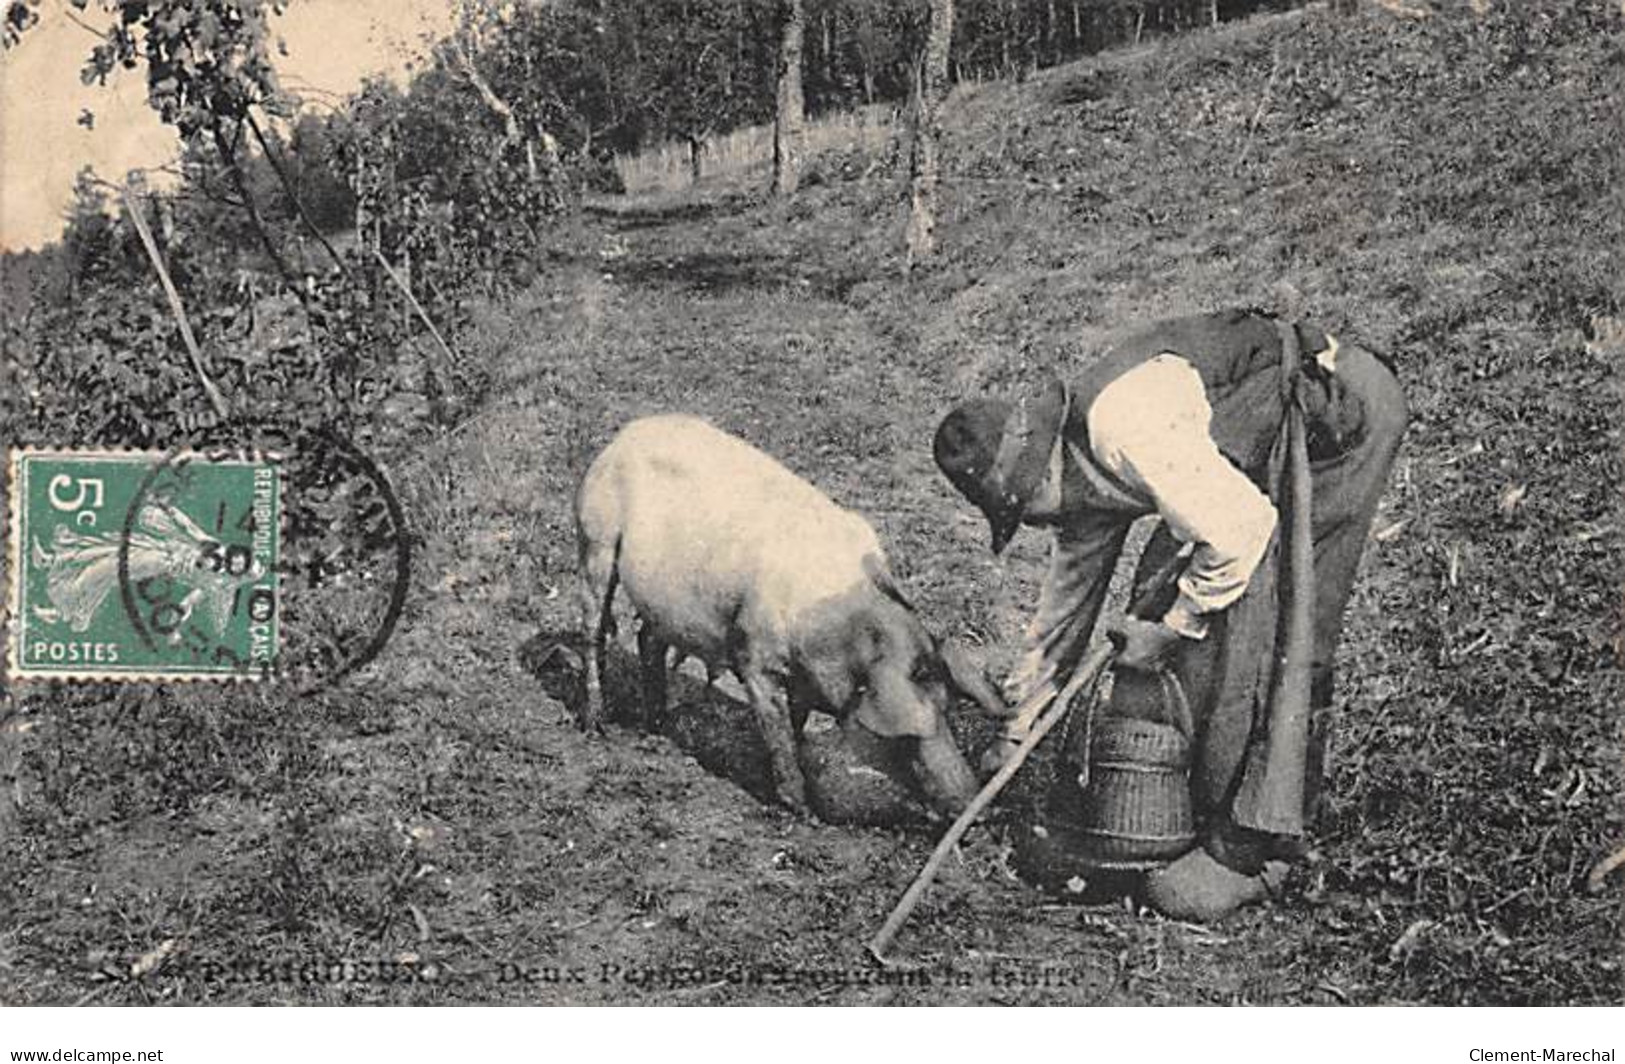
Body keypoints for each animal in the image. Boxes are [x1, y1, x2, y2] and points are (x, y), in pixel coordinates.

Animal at [568, 415, 1001, 815]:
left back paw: (658, 729)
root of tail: (627, 433)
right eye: (907, 740)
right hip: (595, 538)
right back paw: (596, 725)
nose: (973, 807)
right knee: (594, 630)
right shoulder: (754, 657)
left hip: (666, 598)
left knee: (648, 639)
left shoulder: (802, 679)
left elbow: (792, 726)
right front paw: (803, 811)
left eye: (948, 712)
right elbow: (777, 733)